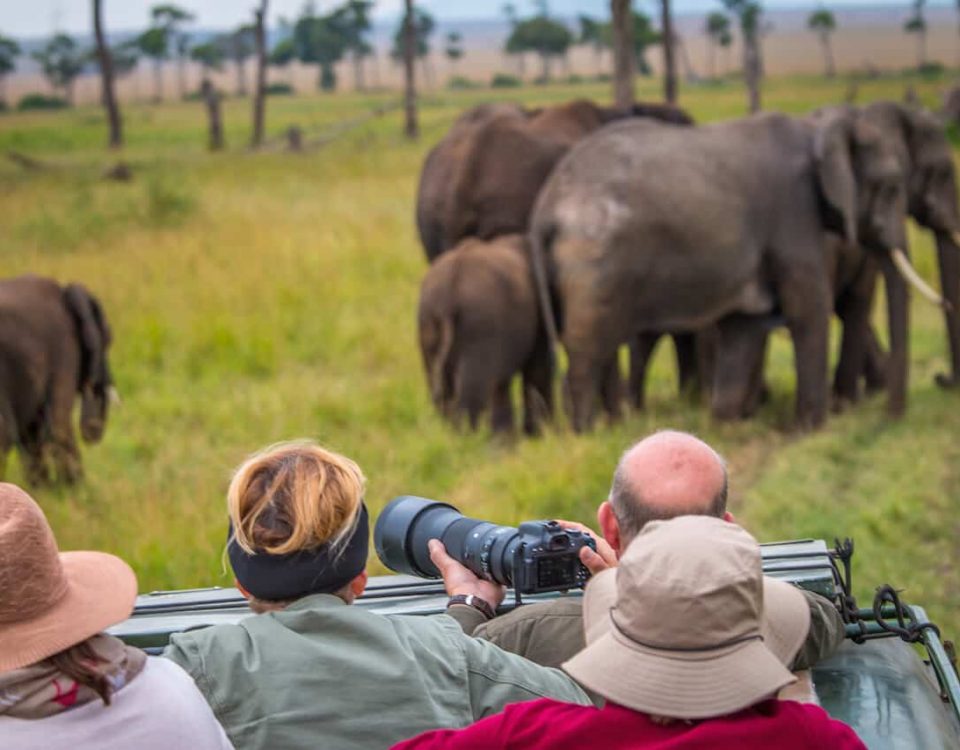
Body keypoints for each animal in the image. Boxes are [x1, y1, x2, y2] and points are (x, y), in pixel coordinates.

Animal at [0, 274, 115, 482]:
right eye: (109, 339)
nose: (93, 432)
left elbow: (34, 434)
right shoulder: (64, 347)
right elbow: (58, 424)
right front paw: (73, 488)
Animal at [416, 235, 552, 434]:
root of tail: (448, 292)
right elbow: (539, 370)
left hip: (427, 322)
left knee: (439, 387)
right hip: (479, 325)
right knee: (472, 391)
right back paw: (467, 439)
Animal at [528, 108, 912, 432]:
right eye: (892, 185)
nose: (889, 421)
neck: (817, 127)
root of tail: (546, 206)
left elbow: (744, 327)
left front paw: (725, 424)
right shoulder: (793, 212)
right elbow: (808, 308)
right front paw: (809, 431)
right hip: (594, 265)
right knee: (589, 352)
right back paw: (587, 434)